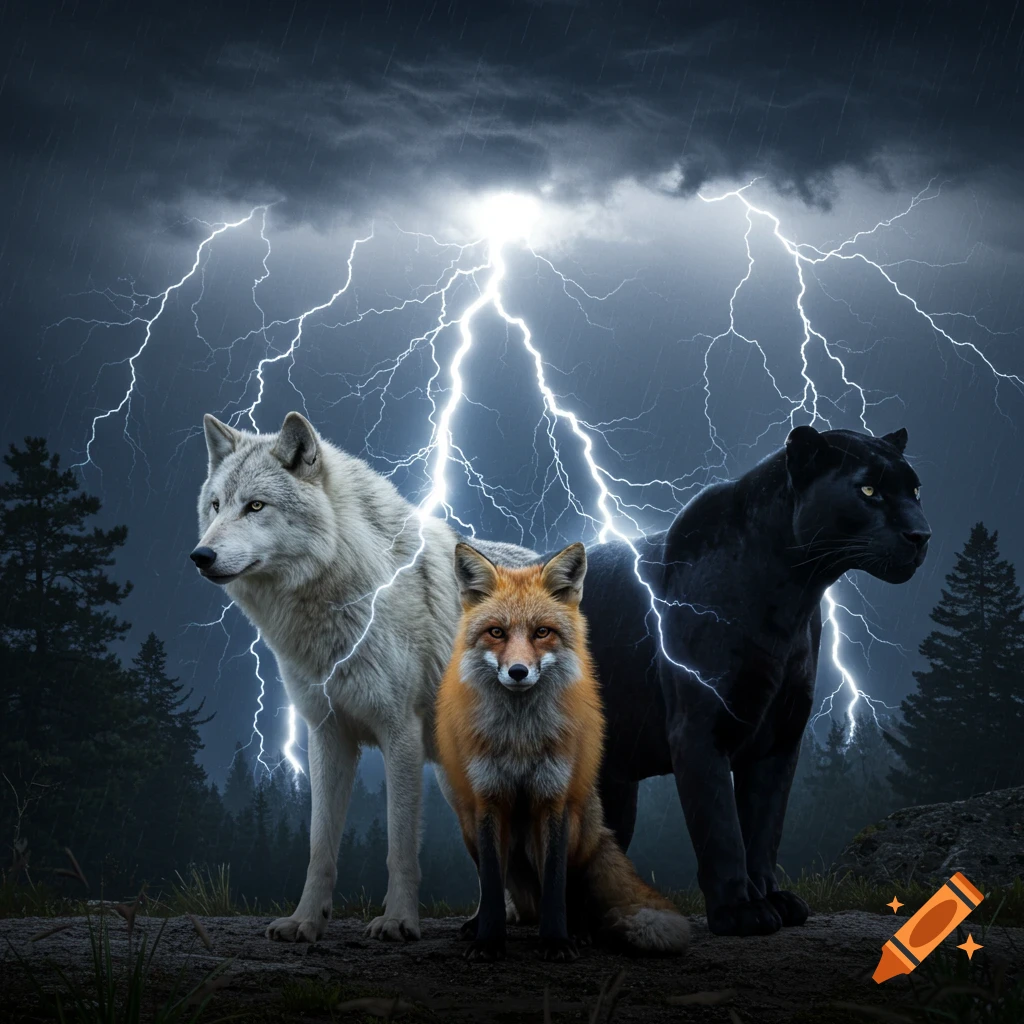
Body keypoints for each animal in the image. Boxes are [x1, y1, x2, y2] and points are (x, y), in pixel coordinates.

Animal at [190, 410, 536, 942]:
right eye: (215, 505)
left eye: (255, 506)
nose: (200, 556)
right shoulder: (326, 735)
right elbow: (320, 847)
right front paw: (305, 921)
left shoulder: (400, 734)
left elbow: (399, 845)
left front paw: (397, 920)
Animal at [434, 541, 690, 961]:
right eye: (496, 632)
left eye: (542, 632)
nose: (518, 672)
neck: (520, 742)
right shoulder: (488, 800)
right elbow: (491, 884)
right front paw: (488, 941)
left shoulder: (553, 798)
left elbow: (557, 885)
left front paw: (557, 942)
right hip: (469, 825)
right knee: (506, 892)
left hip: (577, 829)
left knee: (572, 893)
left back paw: (579, 930)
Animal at [576, 426, 930, 937]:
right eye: (868, 491)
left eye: (915, 490)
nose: (921, 535)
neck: (794, 593)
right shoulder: (700, 727)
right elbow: (721, 826)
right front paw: (738, 912)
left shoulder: (780, 737)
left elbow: (763, 827)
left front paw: (773, 900)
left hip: (617, 780)